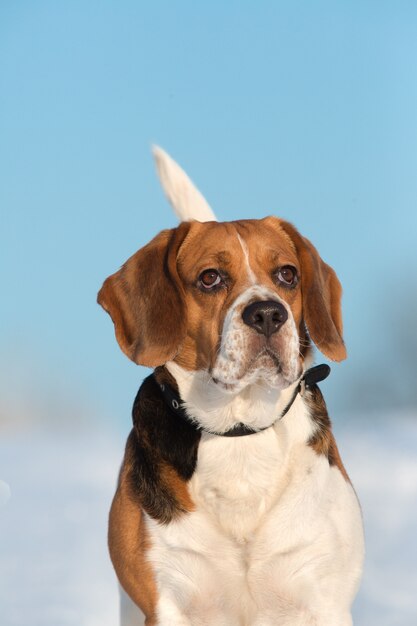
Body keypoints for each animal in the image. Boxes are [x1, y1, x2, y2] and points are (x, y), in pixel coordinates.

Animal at [99, 147, 362, 624]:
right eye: (210, 278)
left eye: (288, 274)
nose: (268, 314)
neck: (239, 430)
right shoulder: (166, 601)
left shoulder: (324, 599)